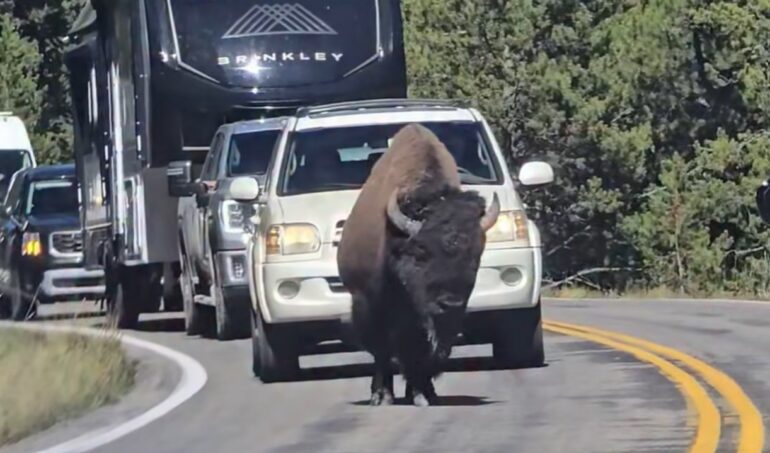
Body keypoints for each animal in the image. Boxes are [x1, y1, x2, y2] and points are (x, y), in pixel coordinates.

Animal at [337, 124, 500, 406]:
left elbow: (423, 350)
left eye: (474, 257)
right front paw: (382, 396)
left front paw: (423, 393)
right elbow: (382, 349)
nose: (450, 303)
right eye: (421, 254)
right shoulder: (369, 304)